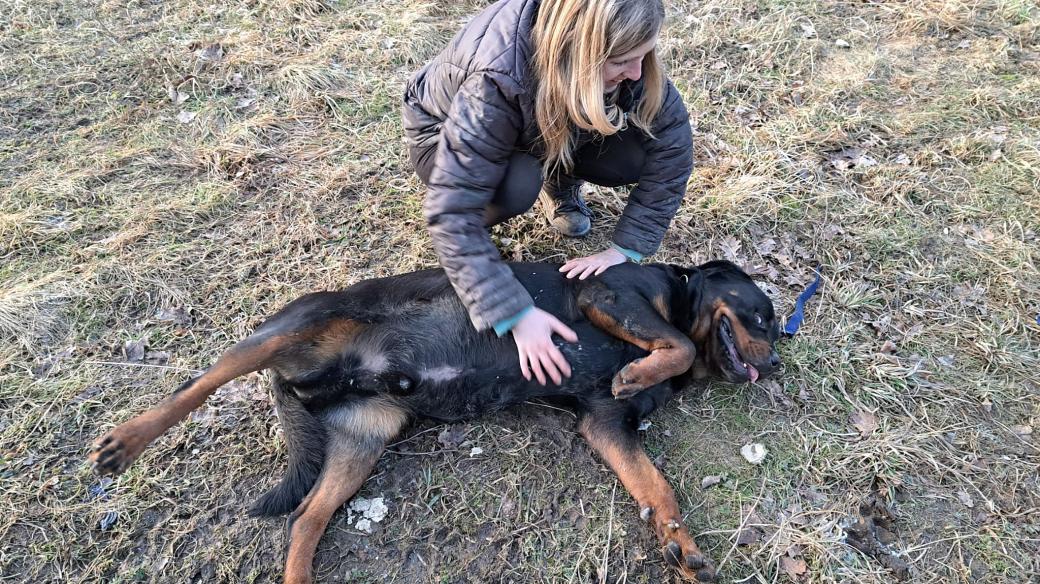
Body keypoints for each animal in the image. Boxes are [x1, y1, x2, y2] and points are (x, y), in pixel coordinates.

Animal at [87, 259, 782, 581]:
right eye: (764, 314)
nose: (775, 363)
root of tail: (303, 383)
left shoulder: (607, 425)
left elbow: (656, 488)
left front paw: (682, 548)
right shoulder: (607, 294)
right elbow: (679, 343)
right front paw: (643, 367)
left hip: (365, 435)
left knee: (307, 518)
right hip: (296, 327)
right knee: (197, 384)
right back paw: (123, 442)